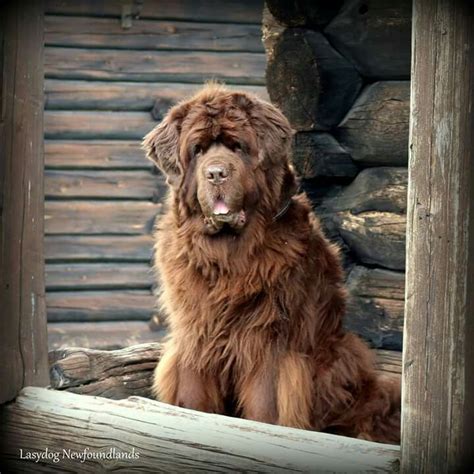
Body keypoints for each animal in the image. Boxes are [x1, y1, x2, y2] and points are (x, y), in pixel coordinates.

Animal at [143, 83, 400, 442]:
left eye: (237, 147)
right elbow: (193, 394)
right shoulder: (197, 331)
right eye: (197, 150)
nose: (216, 173)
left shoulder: (269, 339)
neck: (228, 255)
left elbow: (266, 404)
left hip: (340, 356)